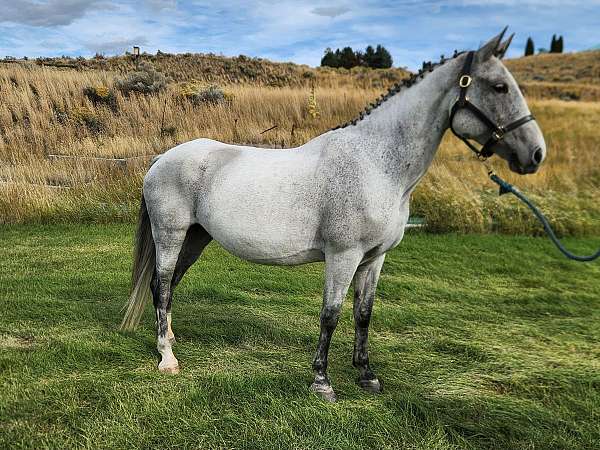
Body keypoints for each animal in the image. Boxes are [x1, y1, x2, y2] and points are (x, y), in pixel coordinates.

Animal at [120, 29, 544, 402]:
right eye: (500, 87)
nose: (536, 154)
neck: (375, 164)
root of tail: (162, 158)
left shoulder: (374, 259)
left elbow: (363, 314)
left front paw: (367, 375)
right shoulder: (343, 256)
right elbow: (331, 314)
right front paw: (322, 382)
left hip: (195, 237)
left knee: (168, 286)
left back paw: (170, 339)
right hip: (171, 235)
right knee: (161, 285)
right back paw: (167, 358)